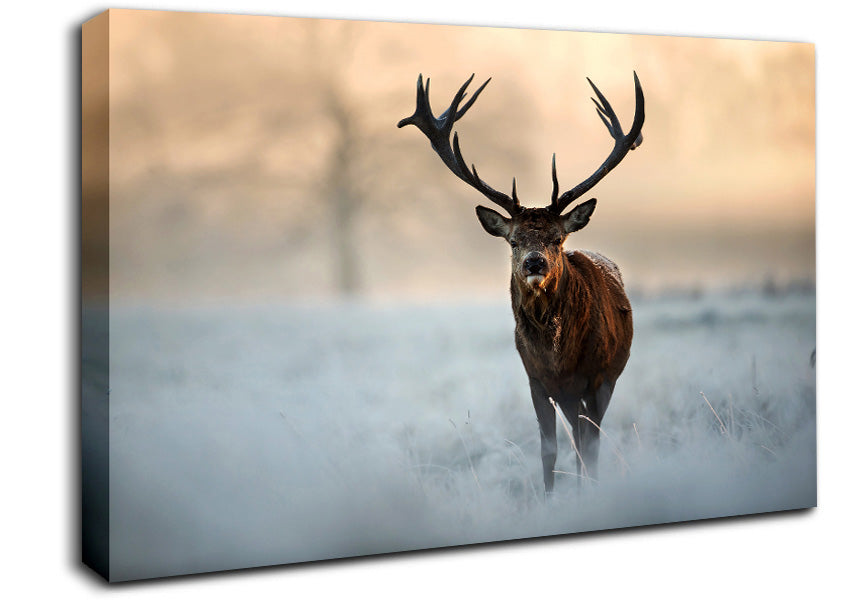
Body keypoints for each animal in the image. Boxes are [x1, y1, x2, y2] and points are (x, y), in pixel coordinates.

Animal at [398, 72, 644, 493]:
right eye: (513, 240)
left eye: (557, 238)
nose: (534, 261)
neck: (559, 357)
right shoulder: (536, 380)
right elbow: (549, 450)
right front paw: (549, 497)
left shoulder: (598, 377)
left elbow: (591, 445)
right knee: (576, 436)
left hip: (608, 376)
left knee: (587, 438)